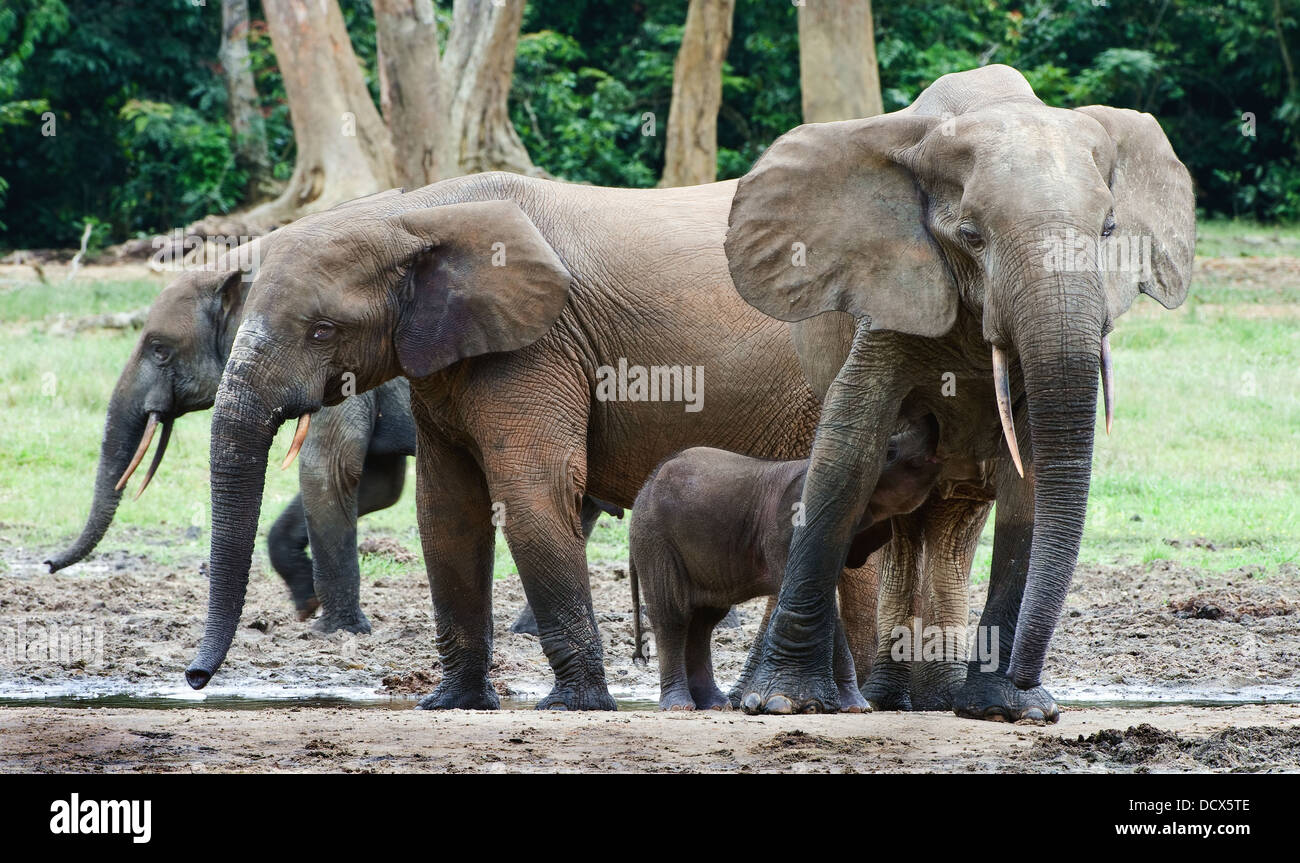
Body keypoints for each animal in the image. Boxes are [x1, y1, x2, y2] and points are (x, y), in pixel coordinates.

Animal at [626, 415, 941, 707]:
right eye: (891, 451)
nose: (931, 417)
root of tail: (645, 487)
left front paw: (855, 707)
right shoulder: (788, 529)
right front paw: (856, 707)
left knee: (703, 620)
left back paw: (715, 705)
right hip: (655, 539)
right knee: (674, 615)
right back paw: (681, 705)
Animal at [728, 64, 1190, 717]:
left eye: (1108, 230)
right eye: (971, 236)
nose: (1025, 674)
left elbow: (1031, 480)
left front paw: (1010, 708)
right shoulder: (889, 290)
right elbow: (849, 451)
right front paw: (784, 702)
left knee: (954, 520)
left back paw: (934, 698)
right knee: (900, 523)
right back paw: (886, 699)